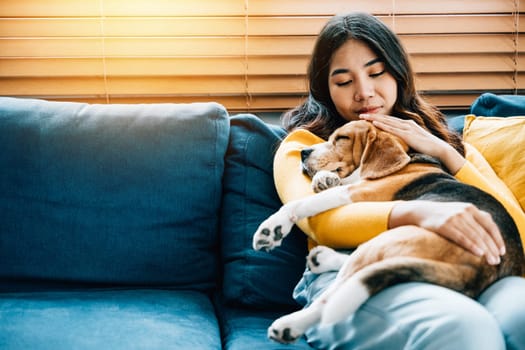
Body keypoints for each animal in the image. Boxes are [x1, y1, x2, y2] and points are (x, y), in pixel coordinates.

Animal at [252, 119, 520, 344]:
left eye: (342, 138)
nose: (303, 152)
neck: (407, 160)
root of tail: (483, 269)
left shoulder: (358, 193)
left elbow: (300, 204)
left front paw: (273, 227)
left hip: (389, 241)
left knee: (333, 296)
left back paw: (291, 324)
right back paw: (324, 259)